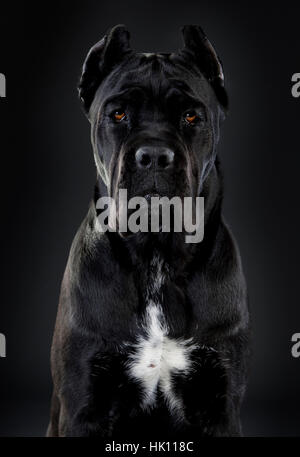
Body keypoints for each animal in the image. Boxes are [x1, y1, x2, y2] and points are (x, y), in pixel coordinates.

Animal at [47, 25, 251, 438]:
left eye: (190, 115)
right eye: (118, 113)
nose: (154, 155)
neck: (156, 254)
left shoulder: (220, 404)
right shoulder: (83, 404)